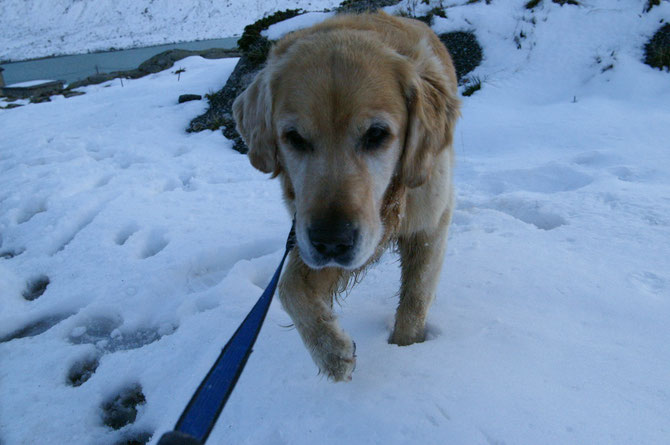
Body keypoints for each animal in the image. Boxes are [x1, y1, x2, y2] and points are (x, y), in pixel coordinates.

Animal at [234, 13, 460, 382]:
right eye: (294, 138)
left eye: (377, 134)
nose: (332, 241)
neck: (389, 204)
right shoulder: (306, 233)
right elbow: (288, 286)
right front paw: (330, 351)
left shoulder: (429, 223)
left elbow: (415, 297)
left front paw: (406, 352)